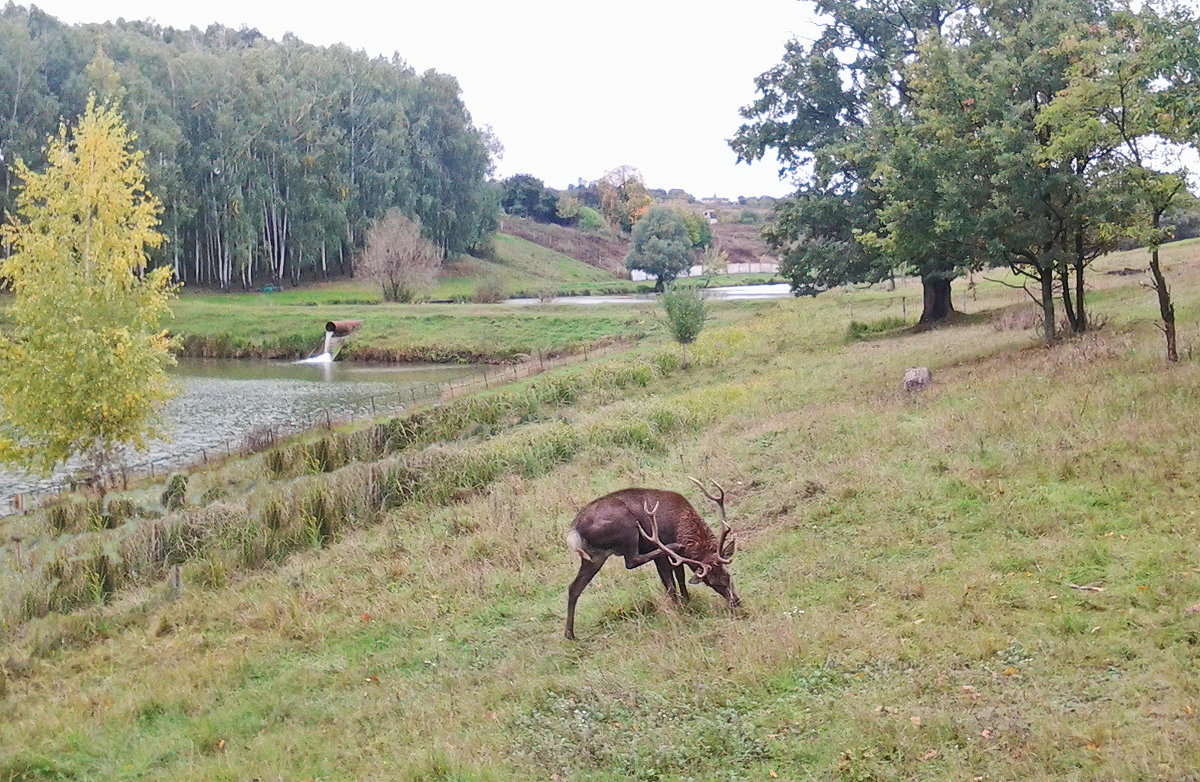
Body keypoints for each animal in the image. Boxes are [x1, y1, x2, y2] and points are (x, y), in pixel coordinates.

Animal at [564, 479, 739, 638]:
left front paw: (687, 600)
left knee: (574, 587)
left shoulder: (680, 559)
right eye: (710, 582)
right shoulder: (664, 554)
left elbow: (681, 577)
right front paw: (679, 609)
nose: (735, 601)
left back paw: (570, 634)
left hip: (594, 557)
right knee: (631, 561)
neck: (679, 525)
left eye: (728, 575)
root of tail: (574, 531)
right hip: (628, 526)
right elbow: (670, 585)